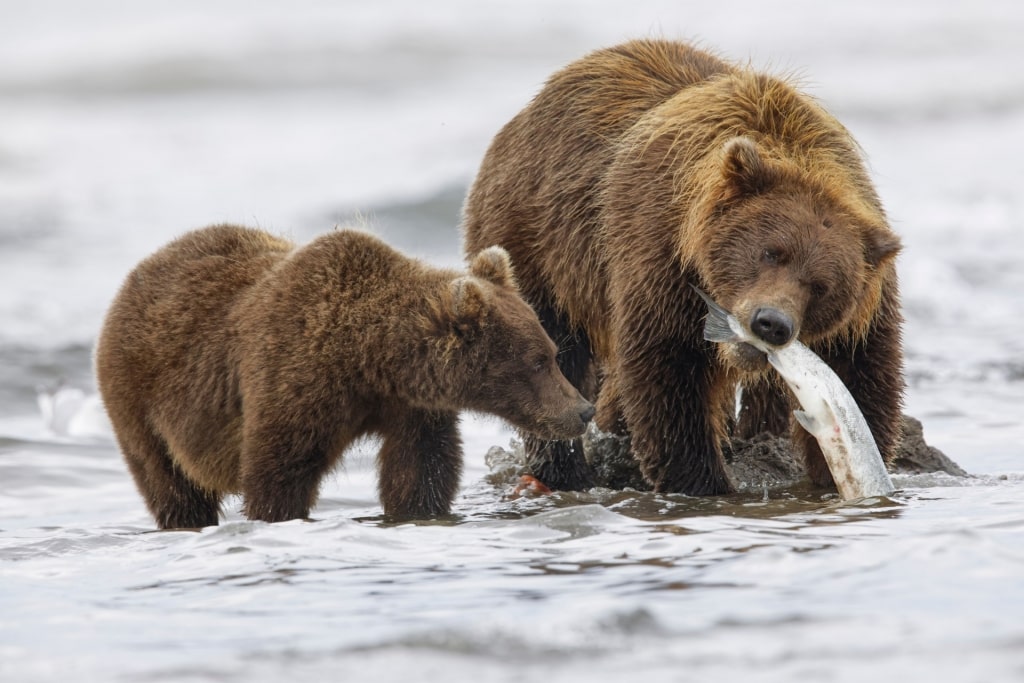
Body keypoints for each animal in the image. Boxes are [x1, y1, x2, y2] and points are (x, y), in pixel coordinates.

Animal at [97, 225, 593, 528]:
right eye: (538, 361)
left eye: (553, 352)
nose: (584, 410)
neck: (369, 360)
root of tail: (132, 278)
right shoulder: (294, 380)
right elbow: (277, 472)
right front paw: (276, 513)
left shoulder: (412, 408)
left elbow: (420, 469)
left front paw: (418, 510)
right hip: (138, 400)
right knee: (171, 485)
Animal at [464, 38, 905, 497]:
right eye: (770, 252)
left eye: (820, 286)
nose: (771, 323)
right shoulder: (659, 255)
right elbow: (668, 377)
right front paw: (703, 480)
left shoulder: (864, 308)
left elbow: (862, 377)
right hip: (537, 244)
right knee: (553, 350)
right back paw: (565, 470)